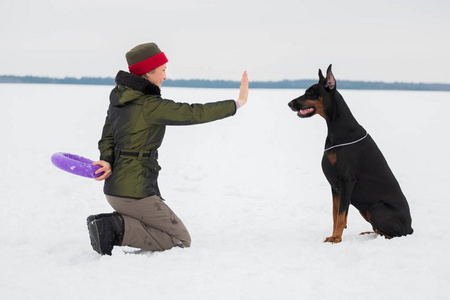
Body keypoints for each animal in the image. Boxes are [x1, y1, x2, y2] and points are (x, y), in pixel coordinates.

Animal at [290, 64, 414, 243]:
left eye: (311, 93)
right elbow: (335, 215)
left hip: (376, 208)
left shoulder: (347, 180)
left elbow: (341, 215)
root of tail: (410, 227)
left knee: (395, 235)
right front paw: (334, 235)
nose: (289, 103)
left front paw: (336, 239)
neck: (336, 130)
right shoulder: (335, 187)